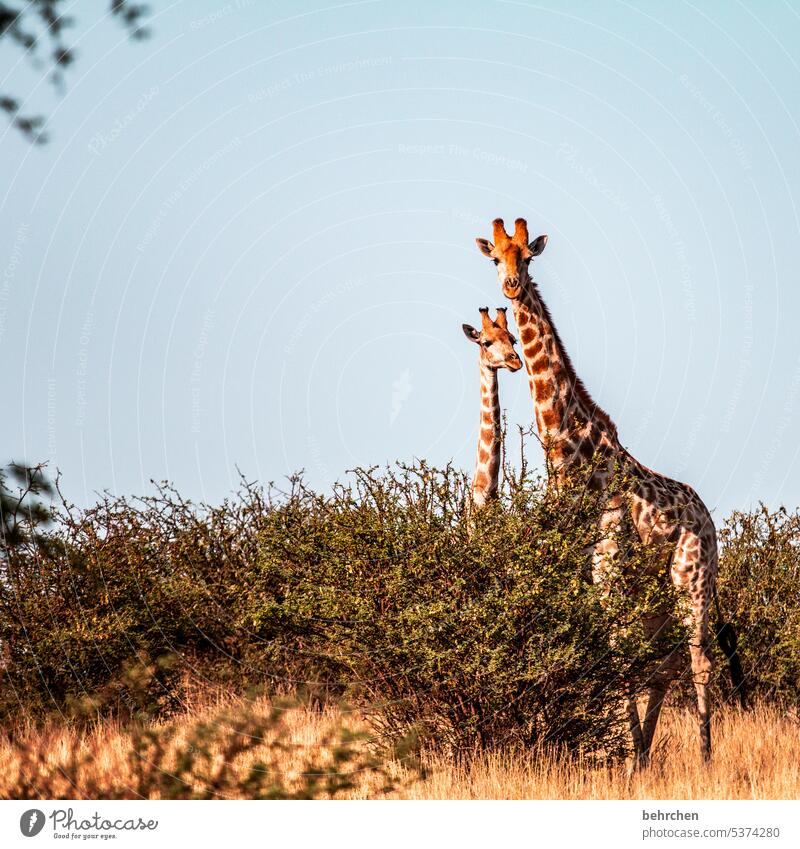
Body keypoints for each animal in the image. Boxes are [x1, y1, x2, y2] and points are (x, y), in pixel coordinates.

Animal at [478, 215, 720, 764]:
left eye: (528, 256)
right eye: (495, 257)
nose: (511, 285)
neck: (568, 452)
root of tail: (711, 522)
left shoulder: (608, 569)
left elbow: (614, 657)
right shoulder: (577, 574)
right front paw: (625, 758)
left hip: (692, 581)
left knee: (698, 661)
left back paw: (703, 757)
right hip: (656, 595)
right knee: (664, 664)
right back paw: (645, 756)